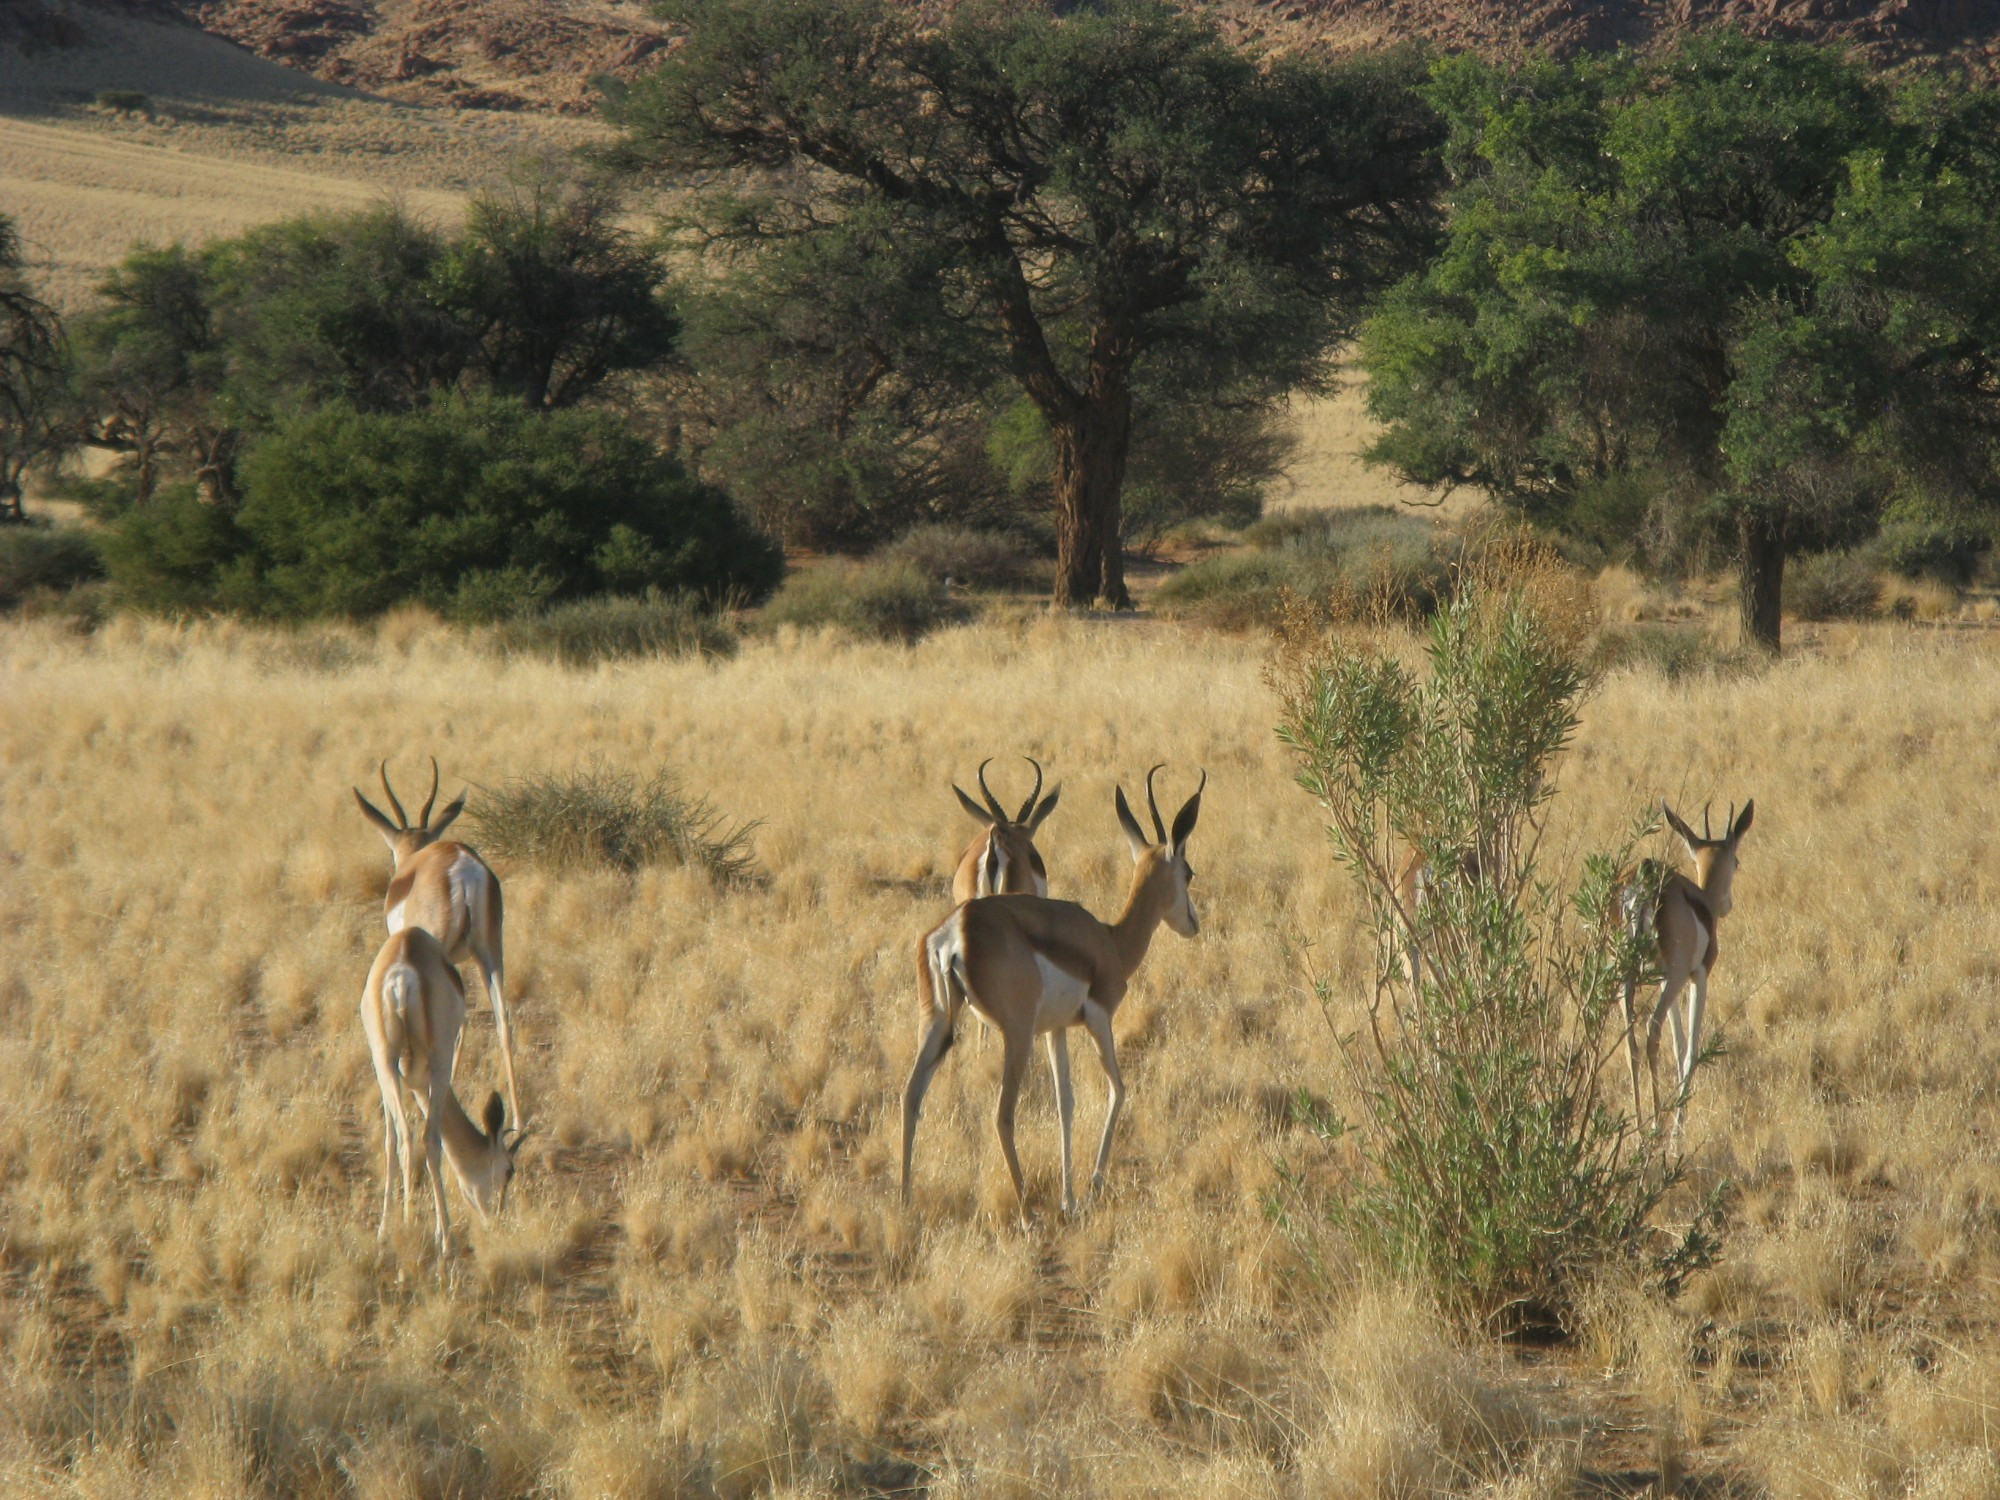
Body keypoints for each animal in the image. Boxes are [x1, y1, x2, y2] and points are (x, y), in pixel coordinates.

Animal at [356, 764, 520, 1128]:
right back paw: (517, 1118)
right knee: (502, 1019)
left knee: (460, 1022)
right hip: (490, 952)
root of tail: (462, 867)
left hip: (443, 952)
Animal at [360, 928, 528, 1256]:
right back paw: (445, 1239)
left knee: (403, 1137)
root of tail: (402, 975)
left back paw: (405, 1225)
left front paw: (384, 1229)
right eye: (508, 1170)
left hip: (384, 1062)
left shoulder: (399, 1077)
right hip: (439, 1062)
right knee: (429, 1138)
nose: (498, 1221)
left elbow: (388, 1140)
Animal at [1616, 800, 1760, 1136]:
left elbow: (1678, 1044)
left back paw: (1640, 1127)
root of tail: (1642, 879)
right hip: (1675, 977)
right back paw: (1657, 1127)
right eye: (1736, 862)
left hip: (1624, 977)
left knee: (1631, 1043)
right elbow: (1691, 1049)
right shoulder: (1697, 976)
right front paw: (1677, 1129)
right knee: (1651, 1031)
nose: (1726, 906)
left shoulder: (1660, 979)